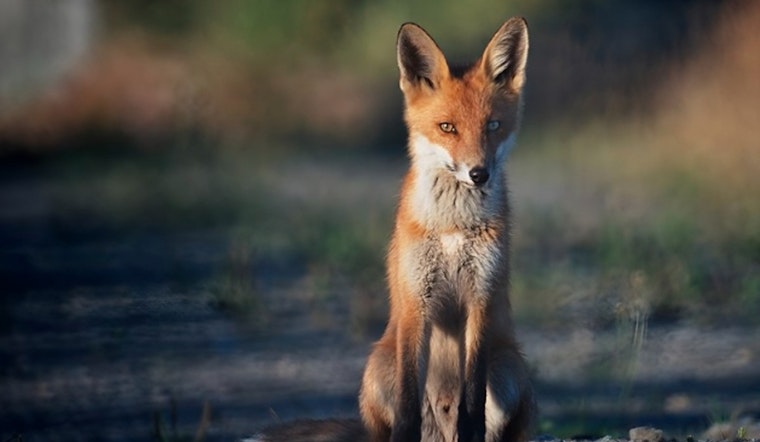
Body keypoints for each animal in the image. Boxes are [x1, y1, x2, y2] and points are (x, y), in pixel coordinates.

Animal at [358, 17, 535, 442]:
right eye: (447, 127)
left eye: (493, 126)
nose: (478, 173)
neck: (454, 226)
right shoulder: (416, 303)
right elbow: (407, 403)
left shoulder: (480, 298)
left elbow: (473, 396)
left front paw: (470, 432)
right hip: (377, 368)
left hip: (510, 368)